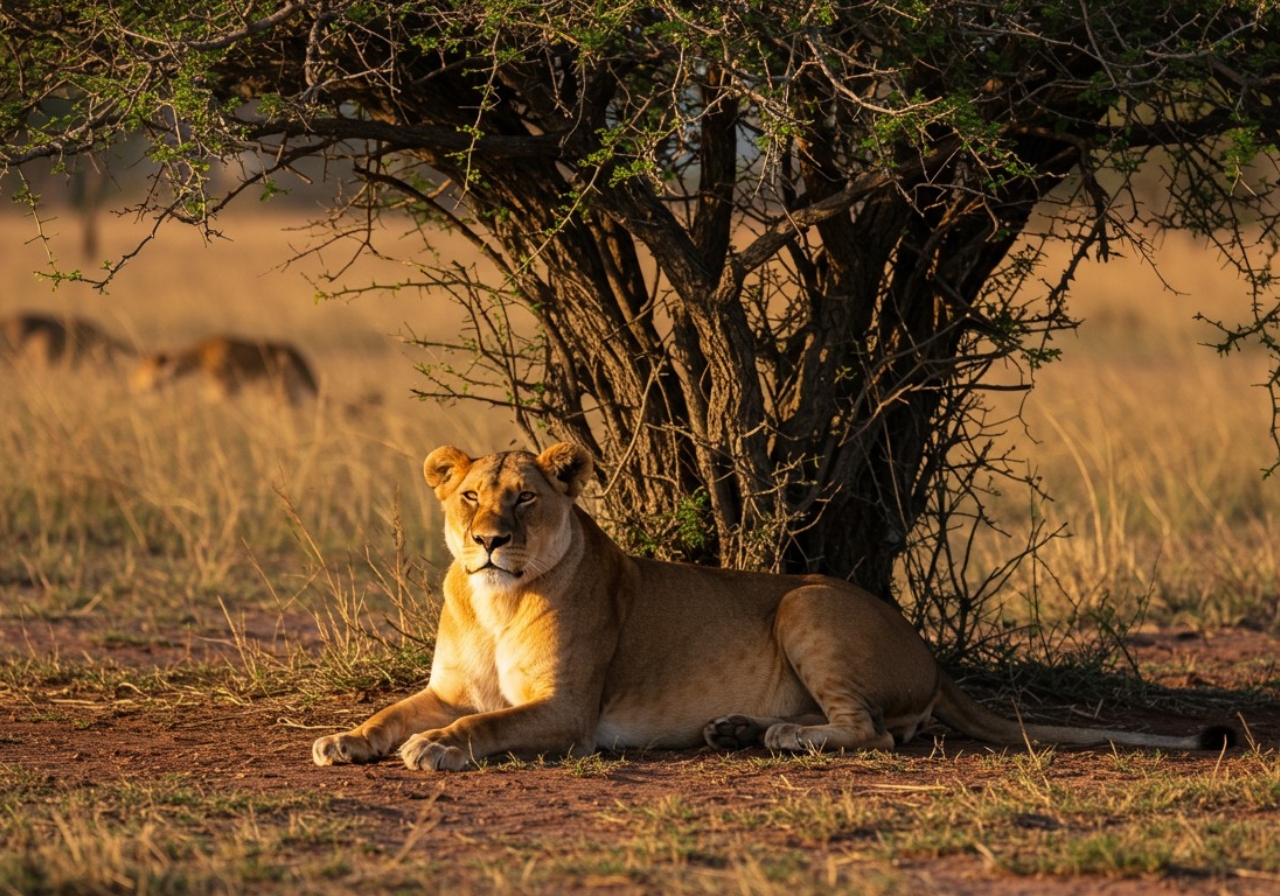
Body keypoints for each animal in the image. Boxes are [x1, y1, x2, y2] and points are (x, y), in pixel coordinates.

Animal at [130, 335, 318, 403]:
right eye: (138, 371)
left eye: (143, 370)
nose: (134, 386)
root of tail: (296, 353)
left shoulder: (224, 391)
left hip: (283, 390)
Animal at [312, 443, 1234, 772]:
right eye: (469, 495)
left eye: (526, 501)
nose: (489, 540)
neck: (494, 599)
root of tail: (931, 653)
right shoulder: (448, 684)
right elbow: (393, 711)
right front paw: (344, 740)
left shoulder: (567, 710)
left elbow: (483, 724)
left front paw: (436, 749)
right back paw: (735, 729)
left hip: (805, 607)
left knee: (873, 734)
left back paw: (786, 737)